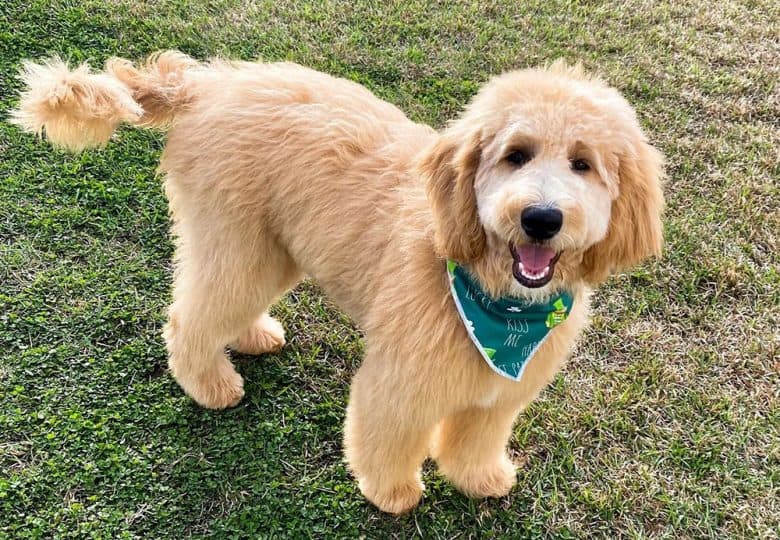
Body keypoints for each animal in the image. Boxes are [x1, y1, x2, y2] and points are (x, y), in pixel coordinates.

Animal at [10, 52, 664, 512]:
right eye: (517, 155)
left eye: (582, 164)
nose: (541, 218)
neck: (497, 303)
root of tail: (209, 83)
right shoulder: (403, 378)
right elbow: (387, 432)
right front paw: (392, 492)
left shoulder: (501, 390)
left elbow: (476, 438)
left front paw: (479, 479)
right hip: (238, 243)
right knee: (190, 317)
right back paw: (212, 385)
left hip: (265, 249)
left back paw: (252, 337)